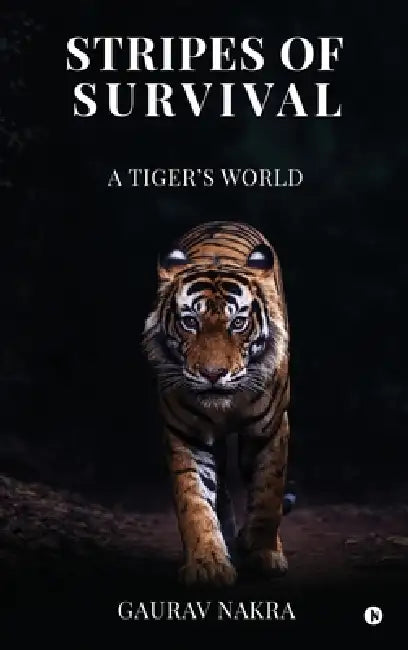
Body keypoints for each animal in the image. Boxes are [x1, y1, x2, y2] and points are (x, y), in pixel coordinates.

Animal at [142, 221, 293, 587]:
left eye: (237, 323)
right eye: (189, 322)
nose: (212, 374)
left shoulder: (270, 430)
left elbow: (267, 493)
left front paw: (265, 555)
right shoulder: (186, 434)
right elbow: (194, 501)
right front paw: (208, 562)